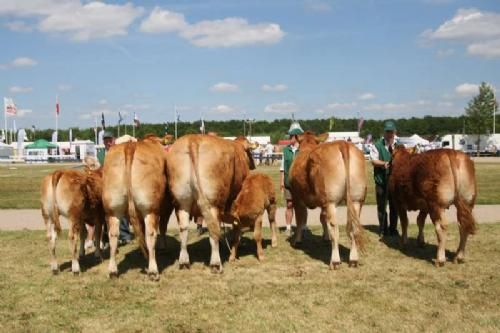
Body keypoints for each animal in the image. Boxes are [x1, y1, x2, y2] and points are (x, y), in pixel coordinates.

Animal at [101, 136, 172, 278]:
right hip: (150, 208)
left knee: (113, 235)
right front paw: (163, 247)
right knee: (151, 234)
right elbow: (162, 227)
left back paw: (112, 270)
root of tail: (130, 146)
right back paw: (153, 270)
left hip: (112, 209)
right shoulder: (166, 208)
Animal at [166, 134, 256, 272]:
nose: (253, 165)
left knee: (184, 228)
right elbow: (236, 224)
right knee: (213, 228)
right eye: (250, 151)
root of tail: (193, 139)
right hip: (212, 204)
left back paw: (184, 262)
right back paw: (216, 263)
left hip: (182, 203)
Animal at [286, 131, 368, 268]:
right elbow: (322, 218)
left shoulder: (297, 197)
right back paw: (353, 260)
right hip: (356, 200)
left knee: (334, 228)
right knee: (354, 228)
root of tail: (342, 143)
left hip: (331, 201)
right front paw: (325, 238)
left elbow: (300, 219)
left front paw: (297, 240)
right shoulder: (322, 202)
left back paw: (334, 261)